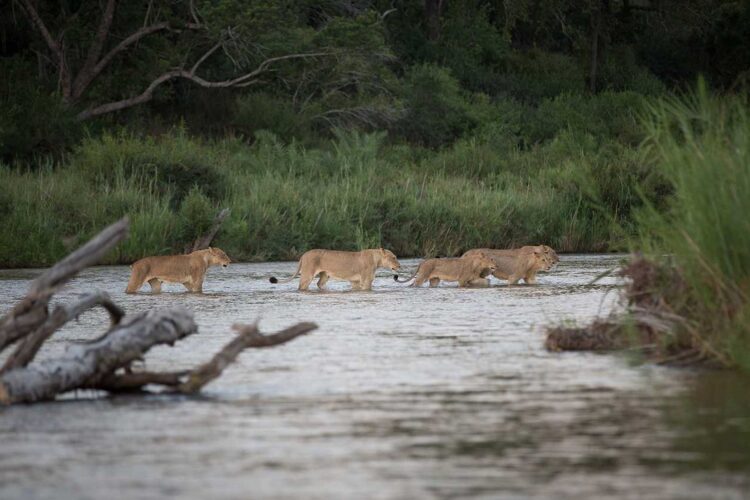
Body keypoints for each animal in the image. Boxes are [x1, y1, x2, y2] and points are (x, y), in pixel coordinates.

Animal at [268, 248, 402, 292]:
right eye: (394, 257)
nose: (400, 266)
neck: (376, 259)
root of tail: (303, 255)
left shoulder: (355, 281)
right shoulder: (366, 281)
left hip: (325, 275)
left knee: (319, 284)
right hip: (307, 275)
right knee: (301, 286)